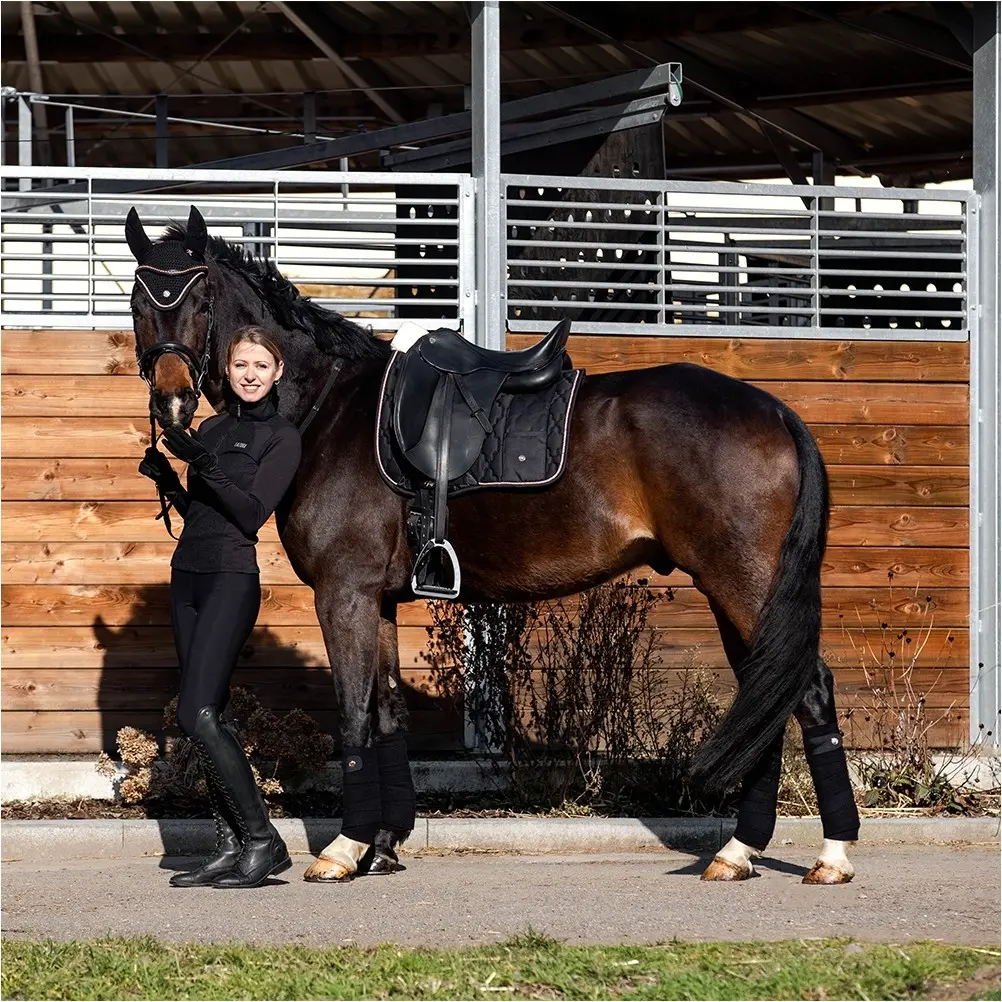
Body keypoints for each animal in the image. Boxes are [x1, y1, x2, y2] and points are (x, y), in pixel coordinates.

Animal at [127, 205, 861, 885]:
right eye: (138, 300)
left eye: (200, 298)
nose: (173, 401)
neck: (333, 409)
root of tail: (774, 411)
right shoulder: (379, 601)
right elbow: (388, 718)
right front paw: (384, 847)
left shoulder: (345, 594)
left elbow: (356, 719)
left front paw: (343, 849)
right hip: (736, 590)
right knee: (769, 697)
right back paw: (738, 853)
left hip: (746, 584)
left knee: (810, 693)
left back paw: (830, 855)